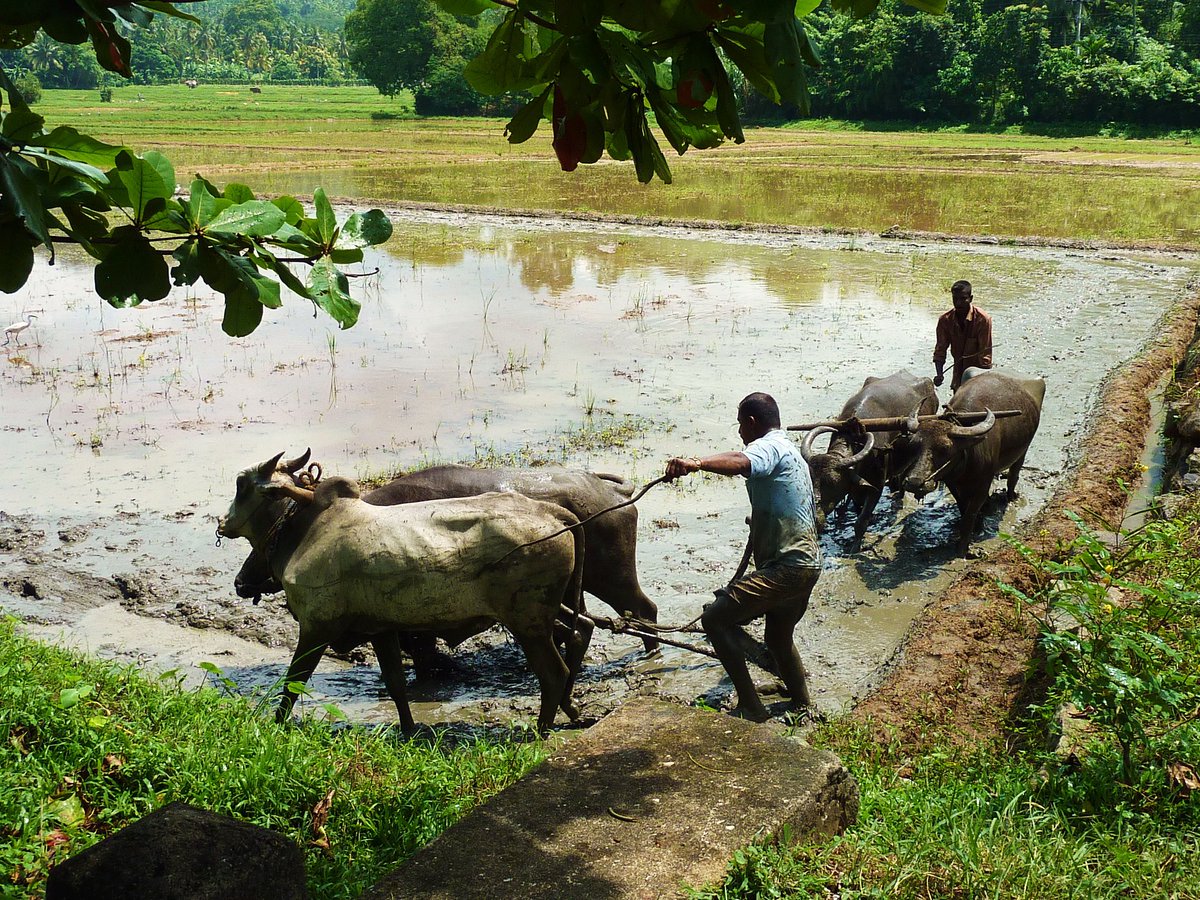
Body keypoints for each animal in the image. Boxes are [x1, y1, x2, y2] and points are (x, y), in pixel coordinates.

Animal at [220, 453, 590, 734]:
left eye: (240, 485)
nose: (223, 522)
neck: (304, 530)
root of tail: (552, 512)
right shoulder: (381, 630)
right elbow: (396, 684)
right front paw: (410, 730)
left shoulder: (316, 627)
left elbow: (293, 682)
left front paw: (276, 725)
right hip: (539, 615)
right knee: (576, 638)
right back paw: (571, 711)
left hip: (528, 622)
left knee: (554, 673)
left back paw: (541, 729)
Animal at [801, 369, 940, 547]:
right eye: (811, 480)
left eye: (833, 484)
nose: (816, 521)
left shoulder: (877, 485)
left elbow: (861, 521)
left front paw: (855, 547)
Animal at [897, 369, 1046, 554]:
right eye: (914, 445)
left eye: (945, 449)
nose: (914, 482)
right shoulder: (952, 482)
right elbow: (963, 507)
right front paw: (977, 524)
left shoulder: (983, 484)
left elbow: (970, 514)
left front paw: (963, 547)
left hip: (1023, 450)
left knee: (1014, 474)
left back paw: (1011, 496)